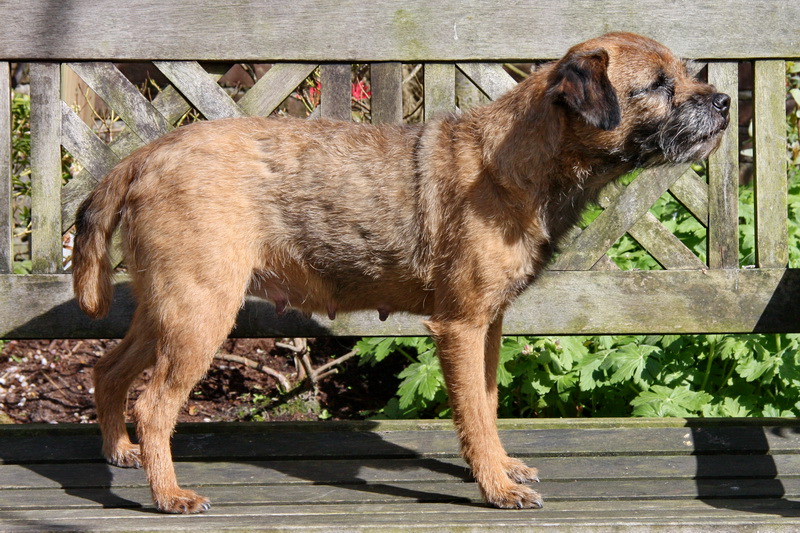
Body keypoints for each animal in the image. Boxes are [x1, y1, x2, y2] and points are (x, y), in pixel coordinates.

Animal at [72, 32, 730, 513]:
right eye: (659, 85)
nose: (724, 102)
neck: (521, 159)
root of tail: (144, 154)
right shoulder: (460, 326)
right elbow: (472, 413)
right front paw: (496, 488)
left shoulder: (488, 325)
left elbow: (487, 403)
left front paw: (501, 465)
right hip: (200, 311)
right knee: (155, 404)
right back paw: (168, 494)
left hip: (167, 308)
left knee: (109, 369)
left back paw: (120, 451)